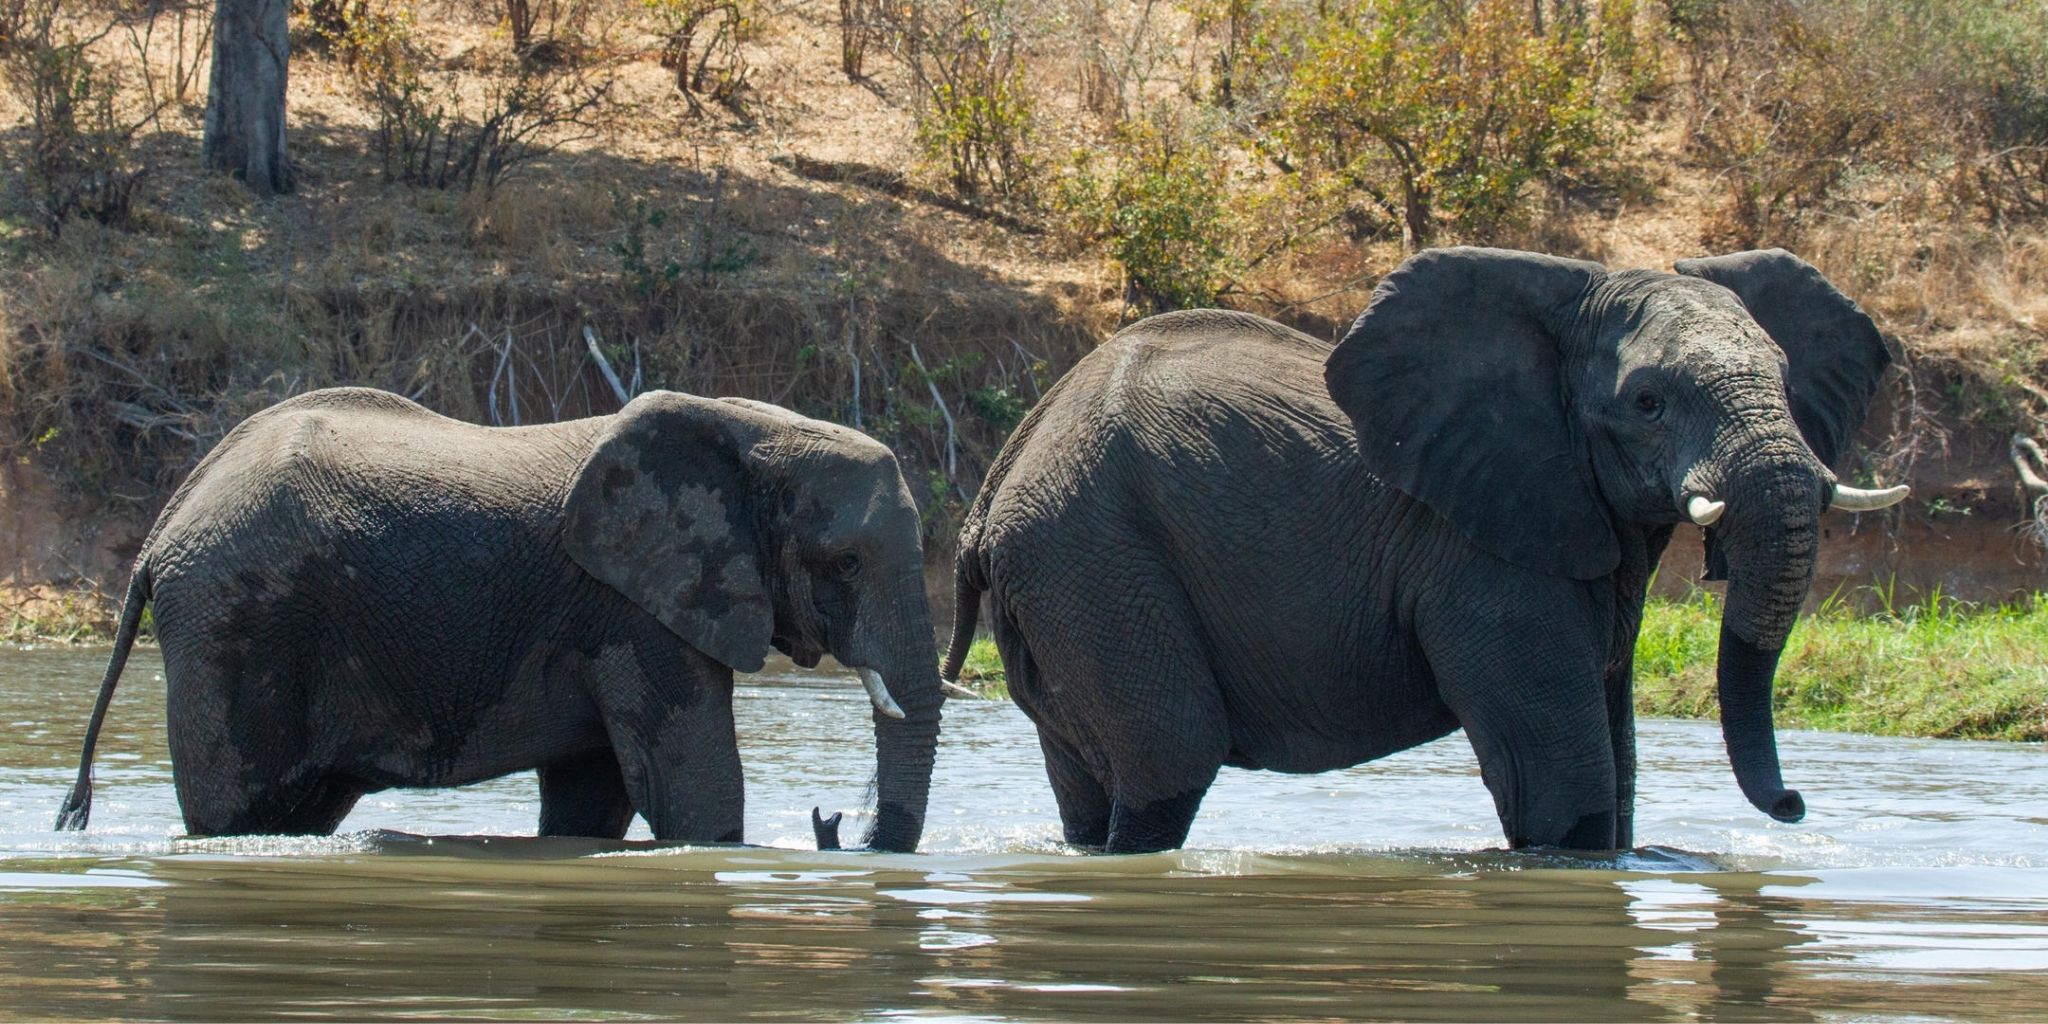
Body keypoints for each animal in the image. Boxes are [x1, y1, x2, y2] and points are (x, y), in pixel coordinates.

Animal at [56, 387, 945, 850]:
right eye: (848, 563)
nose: (833, 823)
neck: (747, 427)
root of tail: (161, 531)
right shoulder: (633, 612)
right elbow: (692, 790)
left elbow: (594, 800)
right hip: (236, 624)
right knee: (239, 813)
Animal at [943, 247, 1905, 854]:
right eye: (1648, 402)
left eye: (1784, 379)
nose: (1793, 806)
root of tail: (989, 494)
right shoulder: (1480, 558)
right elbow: (1565, 788)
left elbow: (1617, 756)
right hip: (1093, 559)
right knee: (1168, 764)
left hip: (1063, 574)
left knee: (1089, 785)